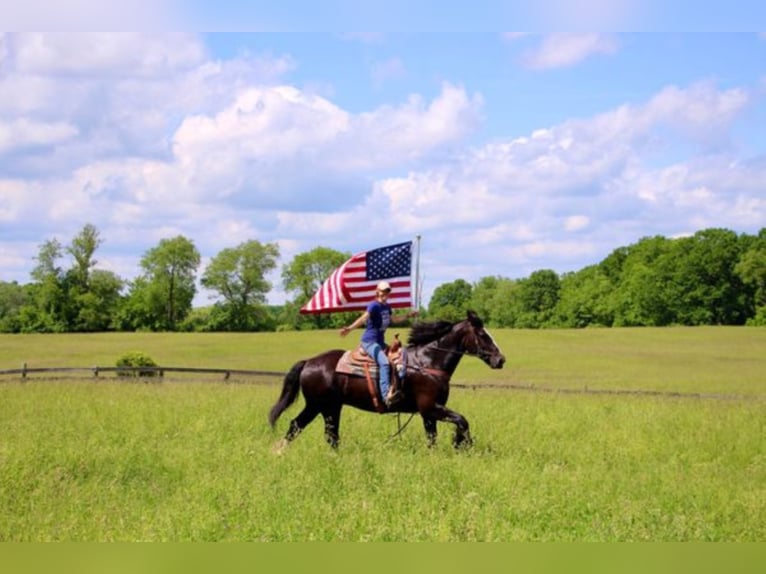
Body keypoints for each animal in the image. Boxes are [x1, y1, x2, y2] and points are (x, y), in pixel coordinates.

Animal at [270, 310, 504, 450]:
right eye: (482, 334)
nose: (500, 359)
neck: (427, 363)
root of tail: (309, 362)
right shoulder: (430, 407)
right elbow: (462, 420)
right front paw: (462, 443)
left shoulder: (428, 413)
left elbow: (432, 438)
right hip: (321, 405)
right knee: (307, 428)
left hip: (328, 407)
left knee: (318, 431)